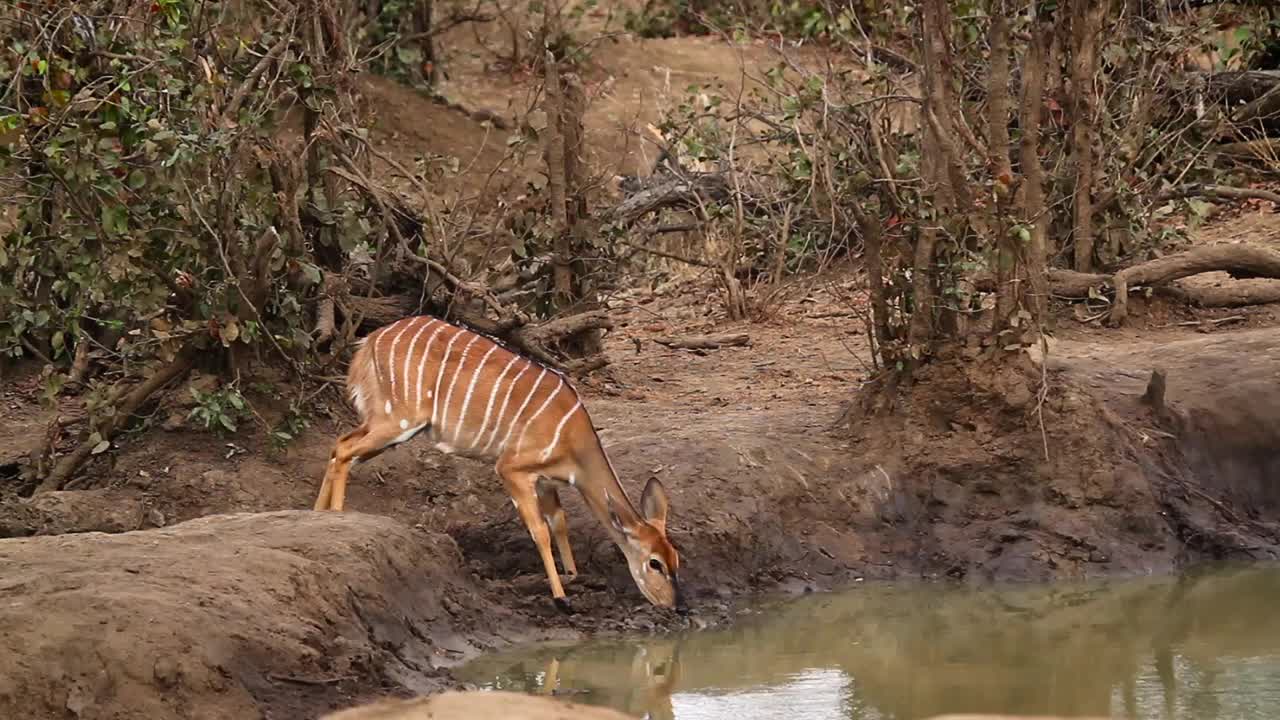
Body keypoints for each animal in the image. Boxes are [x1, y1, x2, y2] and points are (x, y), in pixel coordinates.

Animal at [313, 313, 686, 609]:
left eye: (677, 559)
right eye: (655, 563)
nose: (675, 606)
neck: (573, 438)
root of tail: (371, 340)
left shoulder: (546, 482)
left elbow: (559, 522)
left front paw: (573, 575)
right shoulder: (512, 469)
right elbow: (540, 531)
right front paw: (561, 597)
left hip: (383, 420)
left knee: (338, 444)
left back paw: (317, 513)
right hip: (400, 421)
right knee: (344, 452)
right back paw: (337, 516)